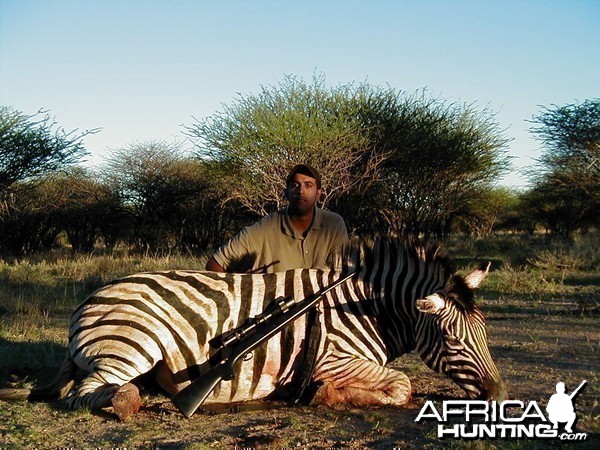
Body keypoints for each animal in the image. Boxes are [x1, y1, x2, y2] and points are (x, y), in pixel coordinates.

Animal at [1, 237, 506, 420]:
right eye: (453, 339)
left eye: (486, 333)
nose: (498, 395)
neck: (368, 308)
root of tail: (85, 304)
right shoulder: (334, 358)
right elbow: (401, 385)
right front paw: (326, 395)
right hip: (134, 344)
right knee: (85, 394)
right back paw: (130, 402)